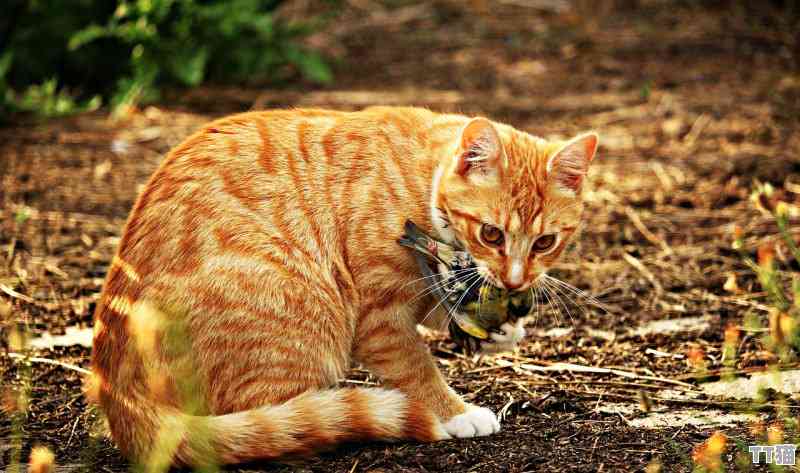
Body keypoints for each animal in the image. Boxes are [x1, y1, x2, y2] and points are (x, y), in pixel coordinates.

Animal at [90, 106, 596, 464]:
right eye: (491, 234)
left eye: (546, 242)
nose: (515, 279)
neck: (421, 183)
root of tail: (117, 395)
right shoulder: (380, 317)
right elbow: (418, 368)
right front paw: (457, 412)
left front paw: (501, 328)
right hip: (302, 312)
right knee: (269, 423)